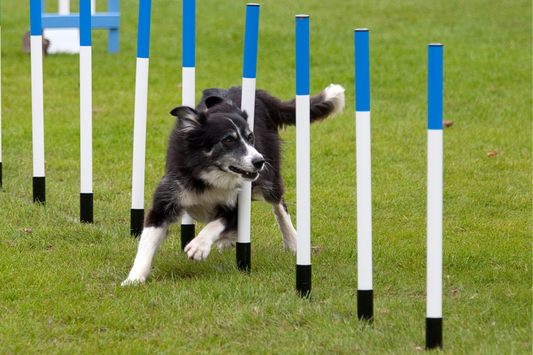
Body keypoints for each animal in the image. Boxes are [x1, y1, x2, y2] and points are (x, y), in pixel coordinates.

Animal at [122, 84, 342, 286]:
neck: (210, 174)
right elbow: (147, 241)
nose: (259, 161)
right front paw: (134, 279)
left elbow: (215, 224)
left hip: (269, 178)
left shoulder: (238, 204)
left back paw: (293, 241)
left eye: (250, 138)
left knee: (279, 204)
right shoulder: (167, 198)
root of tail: (261, 95)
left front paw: (199, 246)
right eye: (228, 140)